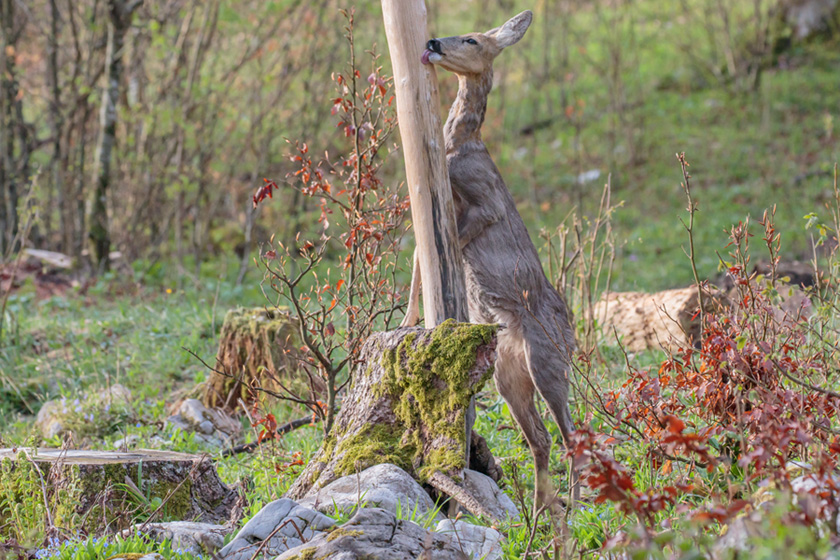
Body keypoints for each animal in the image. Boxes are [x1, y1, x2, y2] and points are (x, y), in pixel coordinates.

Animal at [404, 9, 580, 516]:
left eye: (472, 39)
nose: (432, 41)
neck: (457, 146)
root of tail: (573, 330)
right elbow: (418, 262)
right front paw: (407, 322)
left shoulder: (485, 205)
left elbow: (437, 253)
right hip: (507, 371)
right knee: (541, 436)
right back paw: (542, 513)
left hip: (548, 357)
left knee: (571, 433)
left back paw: (573, 508)